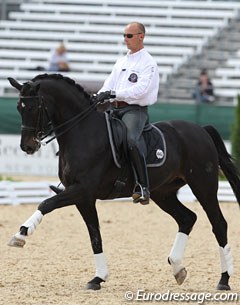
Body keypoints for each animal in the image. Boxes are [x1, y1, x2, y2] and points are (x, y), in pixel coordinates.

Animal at [7, 73, 240, 290]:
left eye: (34, 107)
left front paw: (22, 233)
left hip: (203, 186)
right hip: (163, 193)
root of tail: (201, 130)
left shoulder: (82, 190)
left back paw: (224, 280)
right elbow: (95, 236)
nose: (27, 146)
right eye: (19, 107)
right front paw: (98, 278)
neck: (83, 133)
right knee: (187, 218)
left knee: (218, 224)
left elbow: (46, 203)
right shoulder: (84, 198)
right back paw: (177, 268)